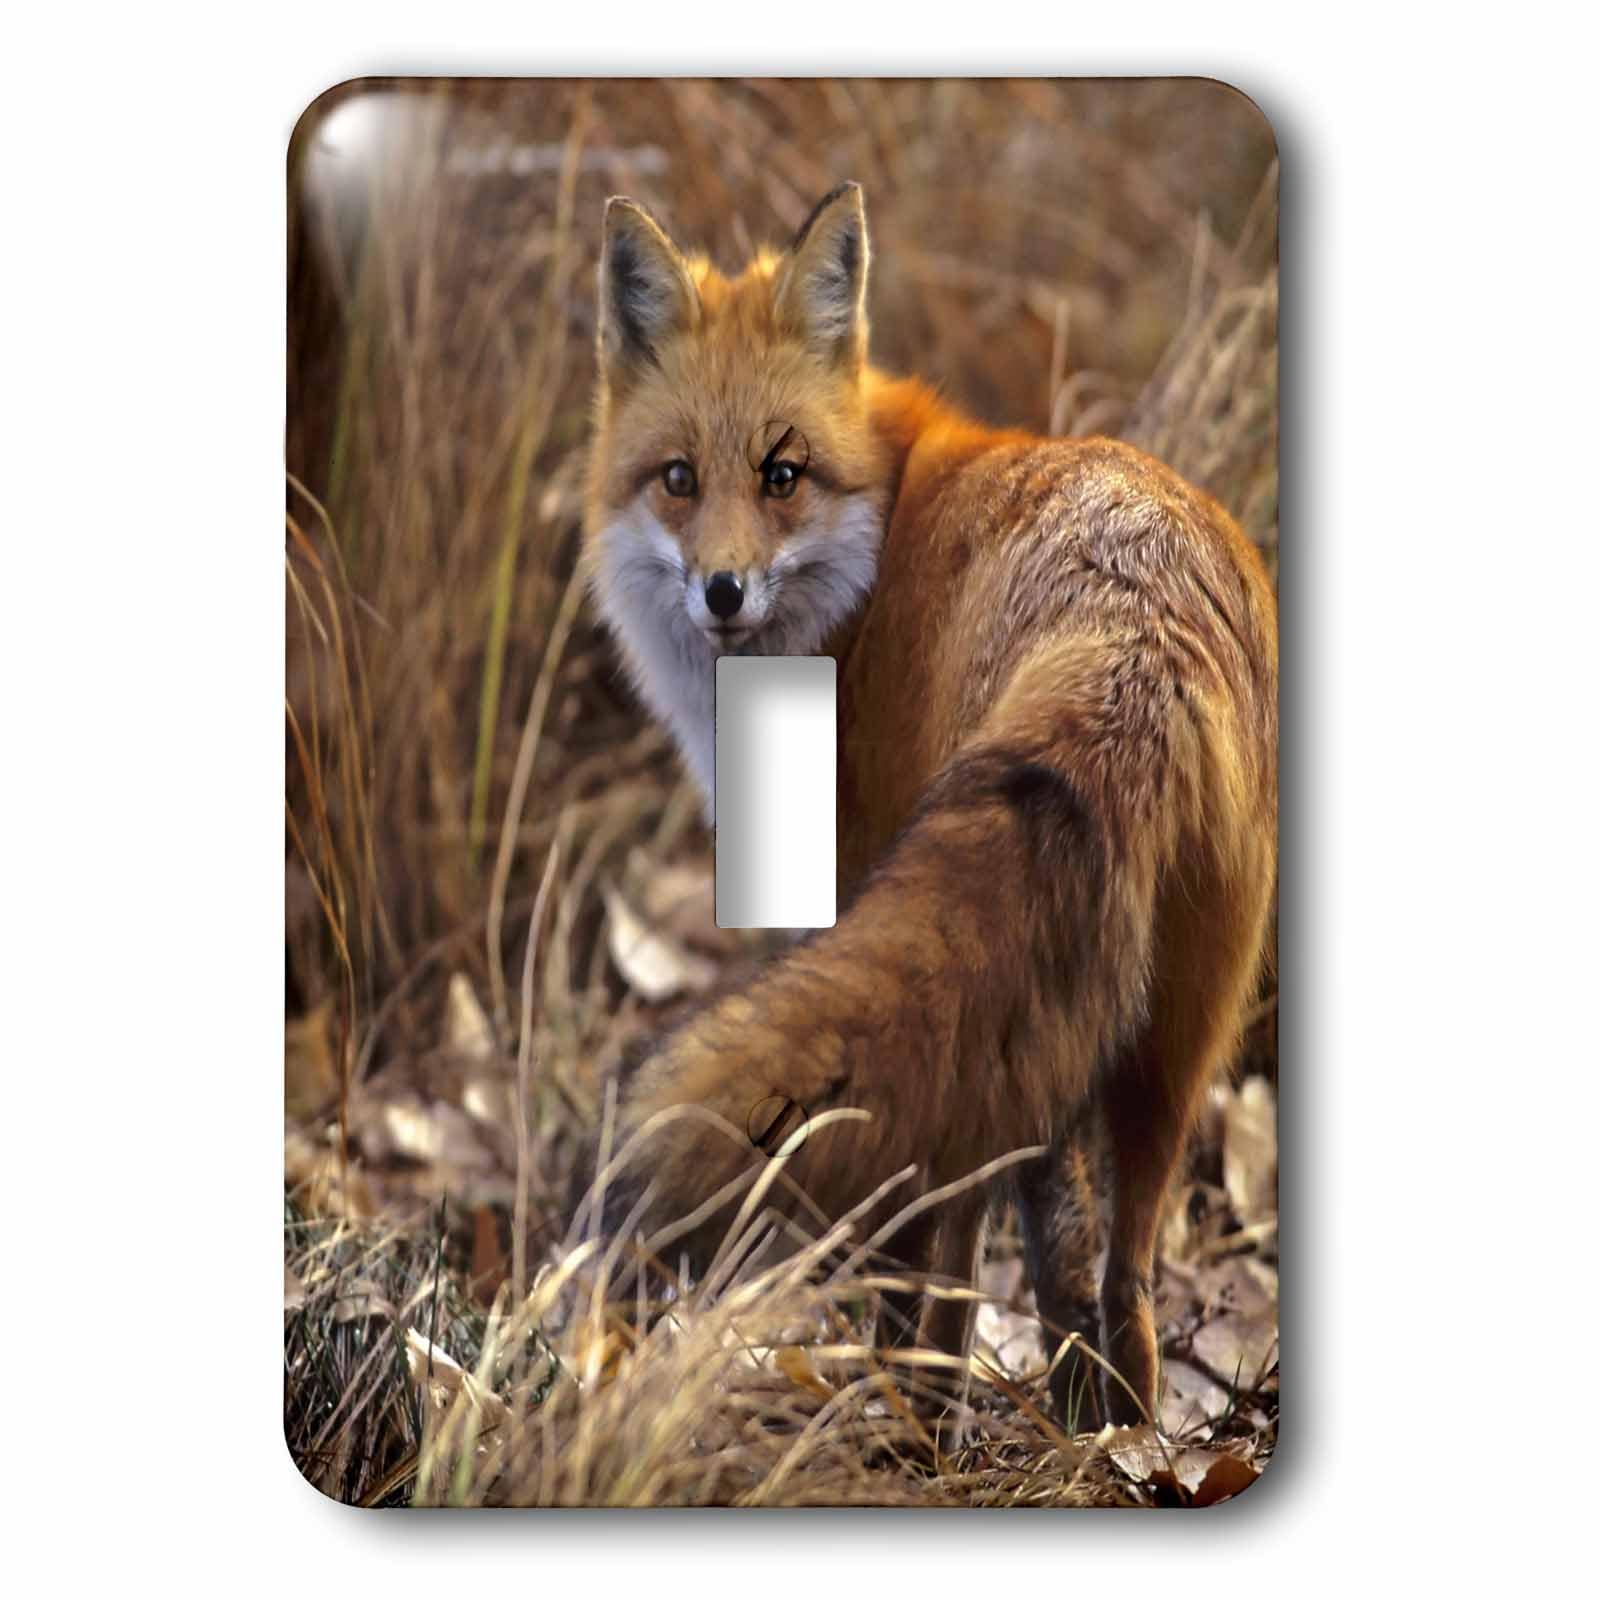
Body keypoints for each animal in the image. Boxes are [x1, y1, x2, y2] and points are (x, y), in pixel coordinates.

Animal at [578, 181, 1277, 1428]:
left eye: (783, 473)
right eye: (676, 477)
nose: (721, 592)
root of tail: (1135, 627)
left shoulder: (848, 880)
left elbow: (950, 1230)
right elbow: (1038, 1231)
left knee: (971, 1213)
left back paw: (924, 1408)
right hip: (1171, 1031)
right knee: (1122, 1264)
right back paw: (1115, 1430)